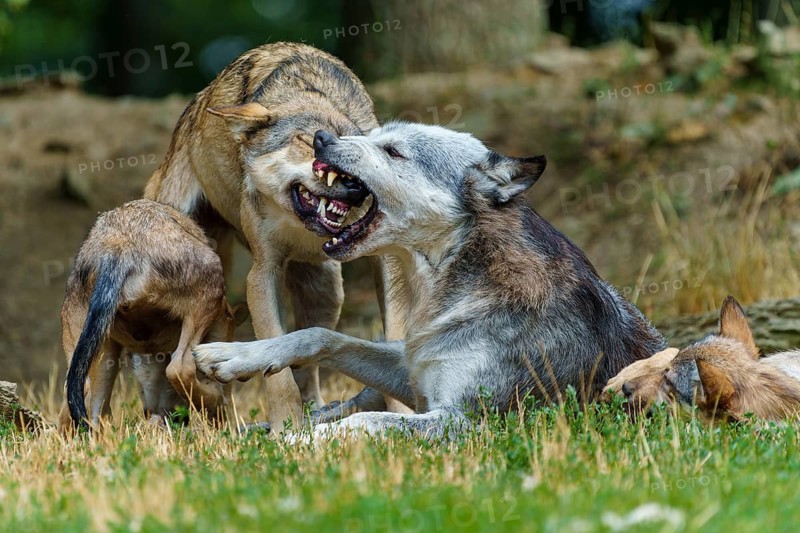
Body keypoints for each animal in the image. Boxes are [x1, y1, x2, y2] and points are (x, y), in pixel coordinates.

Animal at [59, 199, 245, 430]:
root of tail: (116, 246)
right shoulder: (222, 319)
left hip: (88, 351)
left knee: (80, 406)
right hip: (209, 288)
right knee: (179, 368)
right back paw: (214, 404)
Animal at [143, 42, 412, 428]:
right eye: (309, 141)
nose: (357, 186)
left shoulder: (387, 264)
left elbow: (392, 336)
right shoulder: (263, 271)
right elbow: (276, 369)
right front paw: (286, 426)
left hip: (327, 292)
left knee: (308, 363)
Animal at [193, 122, 667, 438]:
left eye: (392, 151)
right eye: (373, 134)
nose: (321, 138)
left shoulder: (466, 421)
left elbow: (366, 421)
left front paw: (299, 444)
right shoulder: (413, 370)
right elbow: (318, 336)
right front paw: (238, 356)